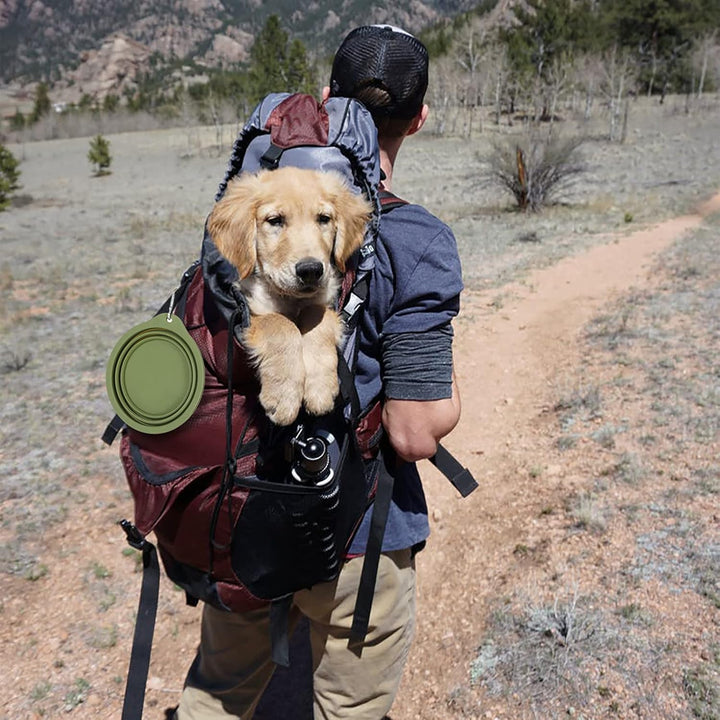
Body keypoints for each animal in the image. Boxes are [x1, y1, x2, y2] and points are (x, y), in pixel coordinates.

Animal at [204, 166, 368, 424]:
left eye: (324, 219)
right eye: (275, 221)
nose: (311, 270)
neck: (291, 299)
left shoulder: (325, 301)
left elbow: (316, 316)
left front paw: (319, 389)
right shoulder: (250, 310)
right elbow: (280, 324)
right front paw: (284, 397)